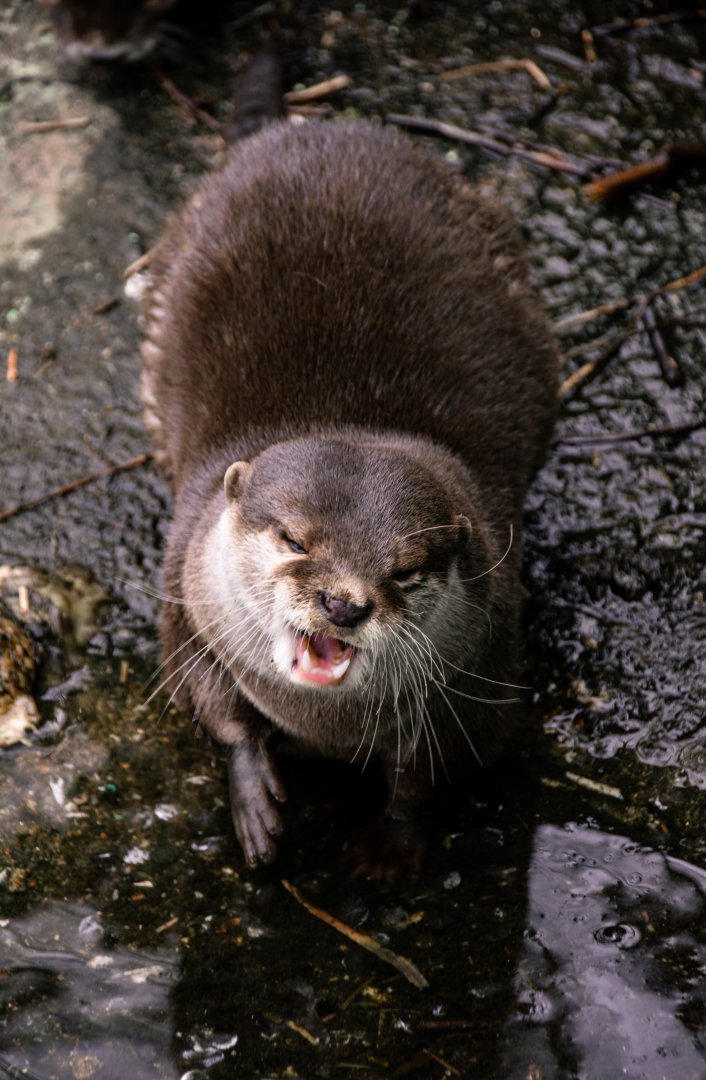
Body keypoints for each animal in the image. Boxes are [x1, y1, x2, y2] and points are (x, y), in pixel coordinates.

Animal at [140, 119, 558, 867]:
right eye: (293, 538)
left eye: (407, 570)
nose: (342, 603)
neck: (325, 726)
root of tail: (312, 126)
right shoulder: (184, 593)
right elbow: (211, 704)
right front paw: (252, 792)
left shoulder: (482, 671)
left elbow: (434, 770)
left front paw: (394, 843)